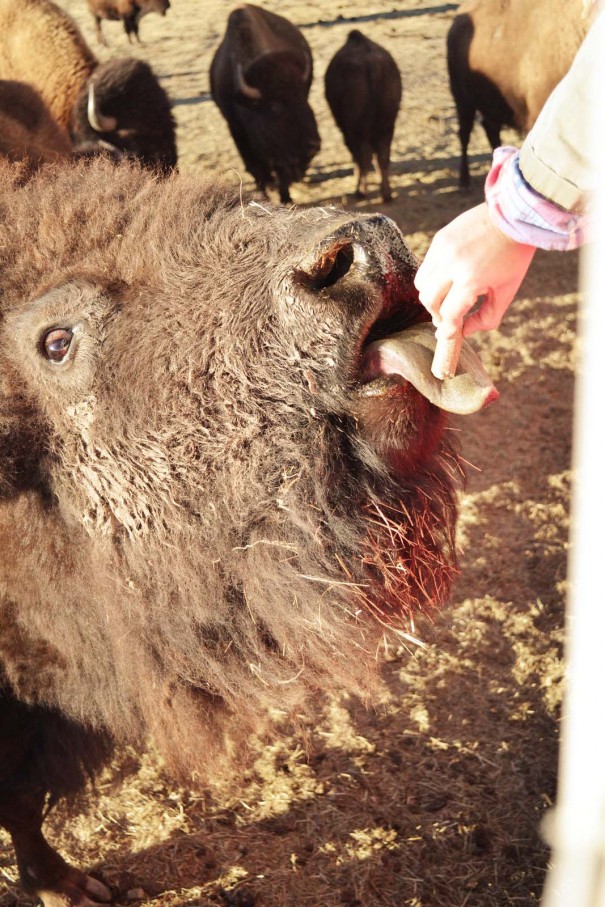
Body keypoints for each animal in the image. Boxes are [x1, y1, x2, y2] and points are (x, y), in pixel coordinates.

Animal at [209, 1, 320, 203]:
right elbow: (255, 167)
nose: (313, 146)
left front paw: (286, 198)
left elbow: (280, 169)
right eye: (275, 107)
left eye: (303, 97)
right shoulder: (236, 129)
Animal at [326, 31, 402, 204]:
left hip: (358, 129)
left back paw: (360, 191)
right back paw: (386, 194)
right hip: (387, 125)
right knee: (383, 157)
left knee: (364, 155)